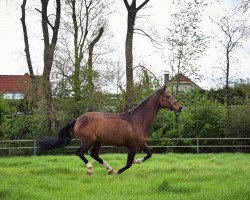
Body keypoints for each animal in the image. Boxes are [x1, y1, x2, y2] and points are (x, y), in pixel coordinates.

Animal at [37, 86, 182, 175]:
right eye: (167, 96)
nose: (180, 107)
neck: (137, 120)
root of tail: (78, 119)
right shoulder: (132, 145)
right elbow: (129, 163)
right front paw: (119, 171)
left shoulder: (141, 143)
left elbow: (149, 154)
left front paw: (137, 161)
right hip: (89, 140)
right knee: (79, 152)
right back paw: (91, 170)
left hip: (98, 142)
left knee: (94, 155)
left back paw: (110, 169)